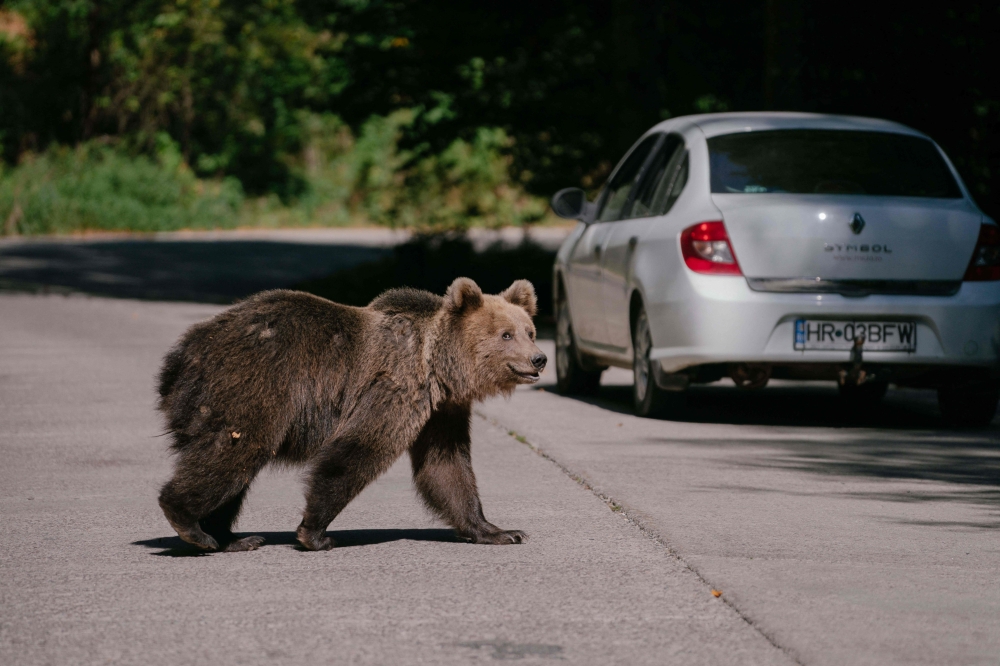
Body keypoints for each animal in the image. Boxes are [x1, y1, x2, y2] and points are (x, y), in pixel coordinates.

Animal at [156, 277, 546, 552]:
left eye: (529, 331)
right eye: (506, 334)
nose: (539, 358)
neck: (438, 368)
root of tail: (182, 354)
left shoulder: (440, 411)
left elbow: (446, 466)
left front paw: (500, 531)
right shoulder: (395, 386)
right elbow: (359, 449)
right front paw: (315, 534)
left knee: (234, 466)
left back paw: (231, 537)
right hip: (252, 384)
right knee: (234, 451)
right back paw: (190, 524)